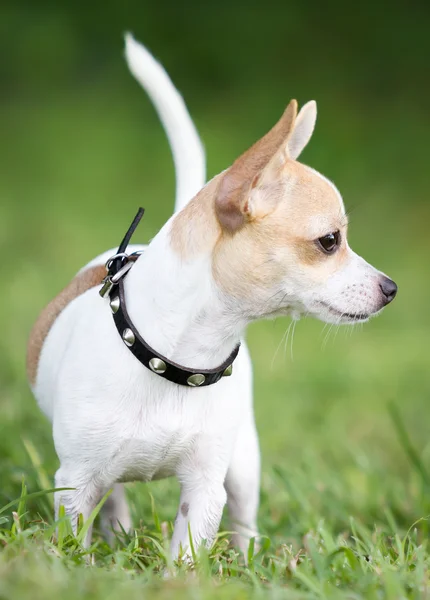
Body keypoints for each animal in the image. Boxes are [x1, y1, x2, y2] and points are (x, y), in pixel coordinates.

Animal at [26, 34, 396, 556]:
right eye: (330, 241)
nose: (391, 288)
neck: (174, 357)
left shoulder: (204, 488)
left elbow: (187, 554)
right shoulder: (75, 483)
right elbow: (74, 540)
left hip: (243, 463)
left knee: (244, 519)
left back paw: (248, 557)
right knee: (115, 499)